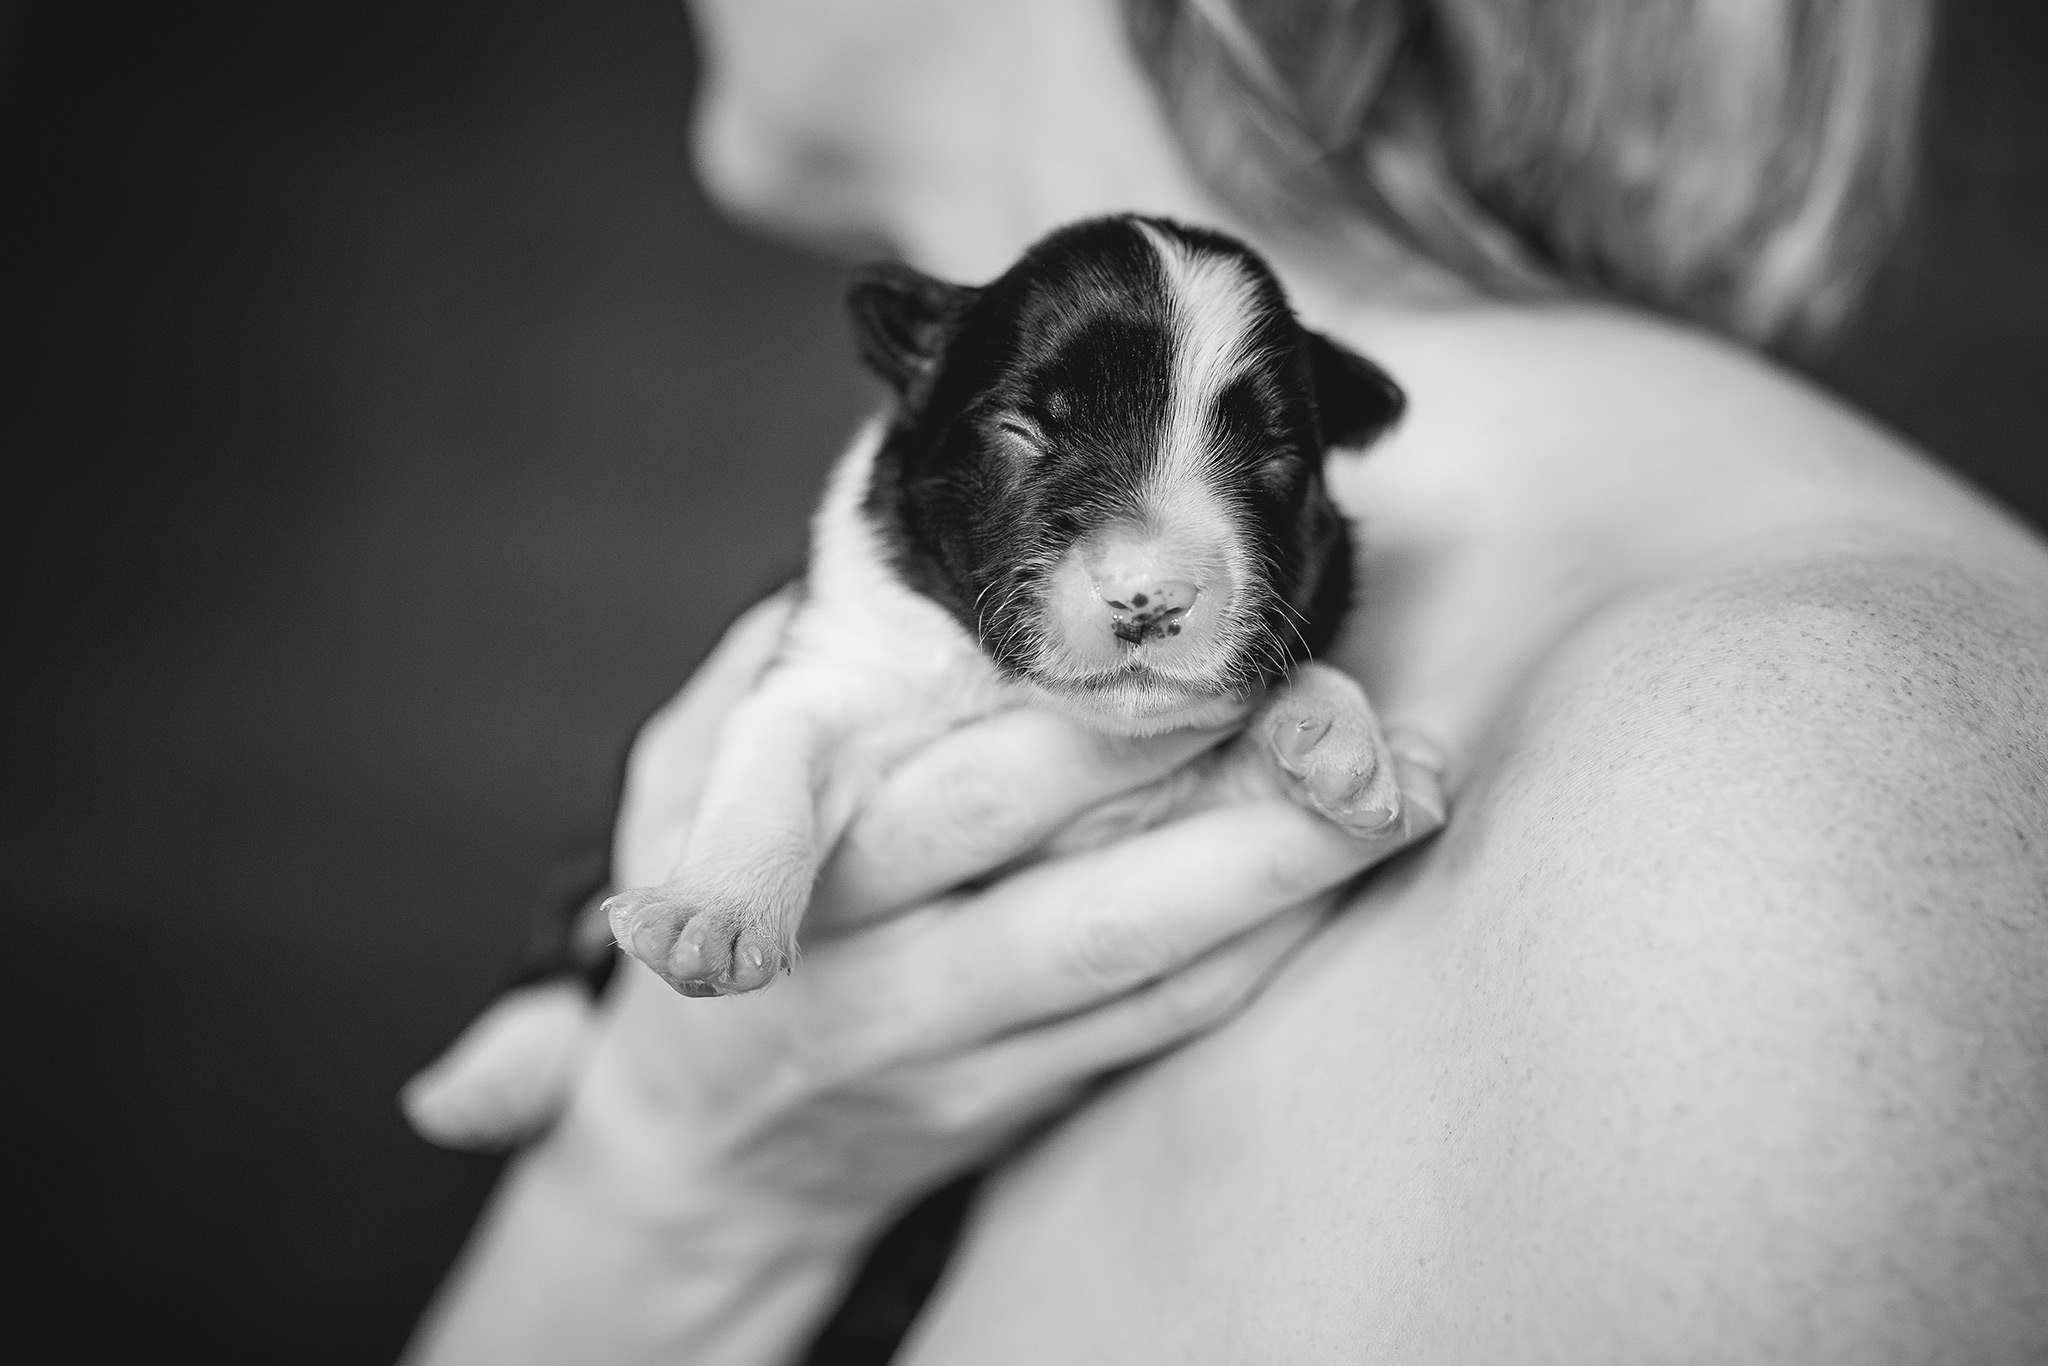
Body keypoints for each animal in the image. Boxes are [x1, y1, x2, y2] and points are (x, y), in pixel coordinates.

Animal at [598, 216, 1400, 1003]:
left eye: (1277, 459)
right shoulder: (833, 664)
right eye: (1021, 430)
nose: (1150, 597)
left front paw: (1331, 732)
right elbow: (773, 764)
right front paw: (713, 913)